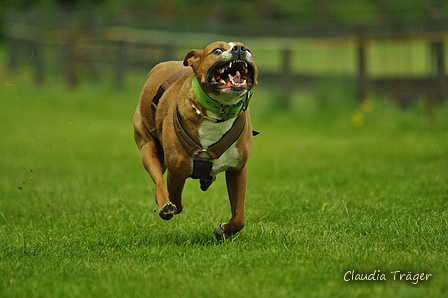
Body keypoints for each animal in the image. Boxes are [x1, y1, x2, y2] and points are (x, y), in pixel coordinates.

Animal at [133, 40, 258, 239]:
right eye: (217, 50)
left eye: (248, 50)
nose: (239, 49)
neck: (218, 113)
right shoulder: (176, 173)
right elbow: (177, 201)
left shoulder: (238, 169)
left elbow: (239, 218)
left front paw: (223, 230)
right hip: (148, 147)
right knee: (158, 180)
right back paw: (164, 205)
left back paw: (207, 179)